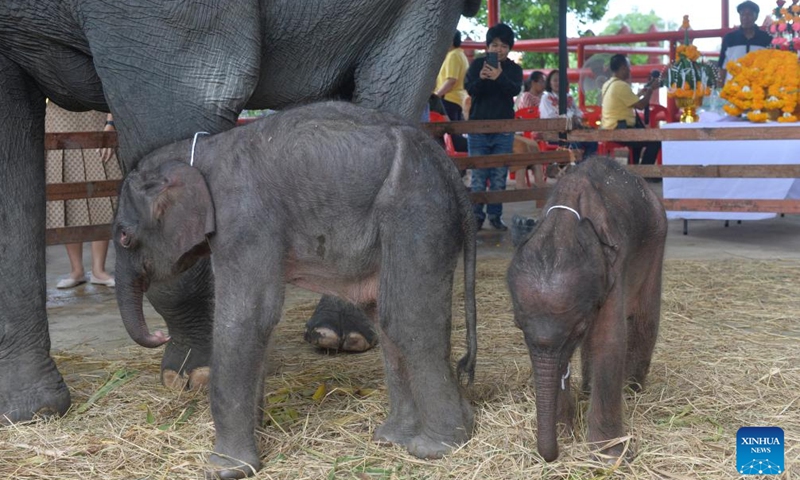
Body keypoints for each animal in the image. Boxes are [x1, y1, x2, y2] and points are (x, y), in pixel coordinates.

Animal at [0, 0, 480, 424]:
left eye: (124, 238)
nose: (154, 338)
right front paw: (29, 411)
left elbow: (180, 103)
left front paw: (193, 376)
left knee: (390, 87)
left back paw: (340, 337)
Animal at [112, 101, 478, 477]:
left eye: (124, 236)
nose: (159, 336)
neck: (198, 151)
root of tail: (450, 171)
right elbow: (261, 324)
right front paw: (257, 430)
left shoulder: (245, 222)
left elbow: (246, 318)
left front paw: (225, 469)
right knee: (384, 316)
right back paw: (396, 437)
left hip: (417, 212)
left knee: (405, 320)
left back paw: (436, 447)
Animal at [506, 157, 667, 462]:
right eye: (518, 326)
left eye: (577, 329)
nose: (552, 454)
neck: (566, 222)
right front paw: (565, 430)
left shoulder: (614, 266)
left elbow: (609, 340)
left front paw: (611, 456)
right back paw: (588, 390)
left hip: (657, 243)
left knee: (645, 318)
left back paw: (633, 391)